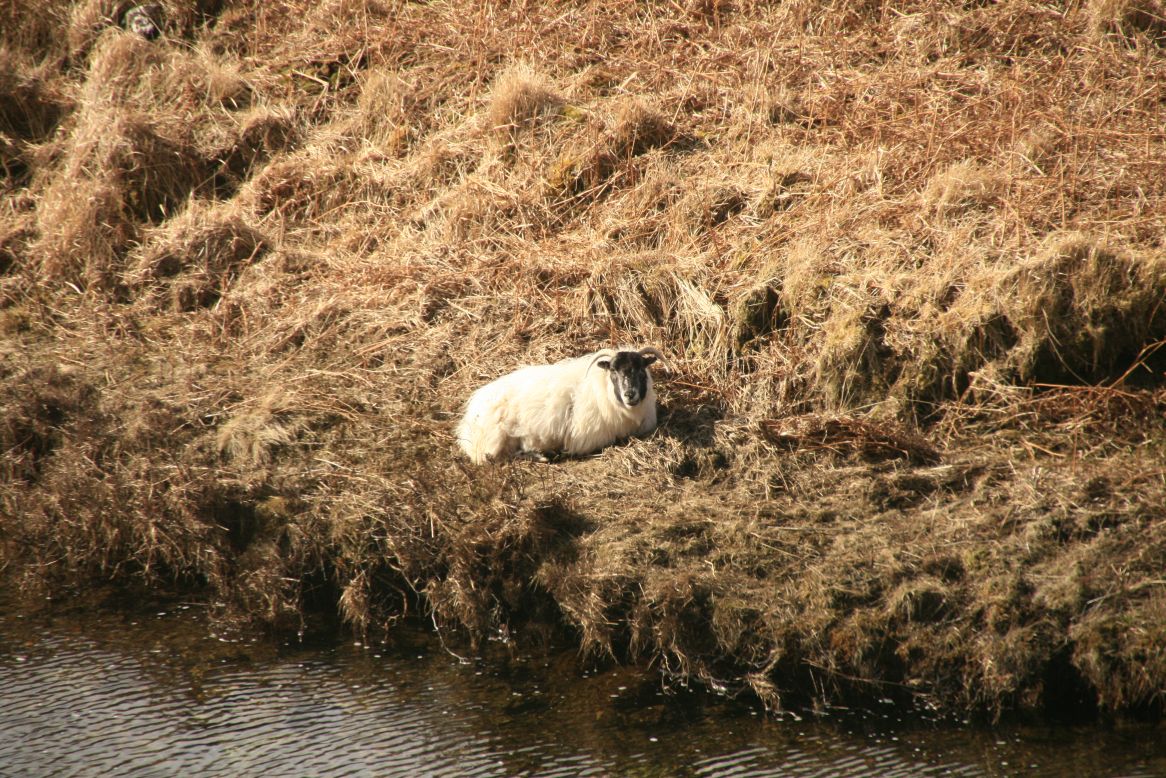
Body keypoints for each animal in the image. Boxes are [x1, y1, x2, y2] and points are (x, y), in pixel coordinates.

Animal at [456, 346, 665, 463]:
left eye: (641, 369)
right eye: (613, 370)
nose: (630, 395)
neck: (602, 389)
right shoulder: (587, 439)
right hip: (494, 439)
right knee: (494, 458)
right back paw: (543, 455)